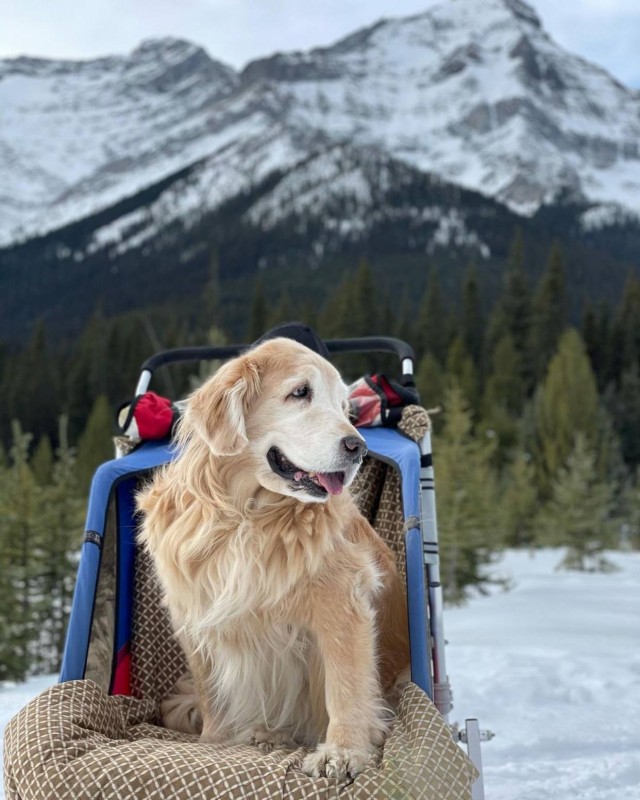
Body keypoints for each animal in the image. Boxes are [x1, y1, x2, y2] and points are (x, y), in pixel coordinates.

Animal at [138, 334, 412, 780]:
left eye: (344, 407)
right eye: (300, 392)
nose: (358, 446)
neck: (244, 515)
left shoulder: (342, 604)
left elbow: (346, 686)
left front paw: (343, 752)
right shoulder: (194, 613)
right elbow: (212, 696)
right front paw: (213, 743)